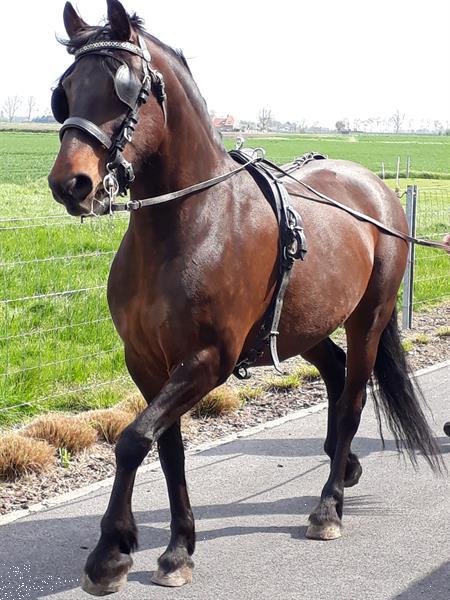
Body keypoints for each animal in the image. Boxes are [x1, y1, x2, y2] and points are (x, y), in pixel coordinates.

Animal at [48, 0, 440, 592]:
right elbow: (166, 449)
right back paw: (341, 462)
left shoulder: (207, 359)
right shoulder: (146, 362)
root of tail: (374, 188)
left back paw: (329, 506)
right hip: (305, 324)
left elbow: (133, 440)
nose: (70, 184)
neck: (187, 225)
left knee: (352, 396)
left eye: (126, 88)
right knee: (335, 371)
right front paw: (176, 549)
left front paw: (111, 553)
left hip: (367, 319)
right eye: (66, 90)